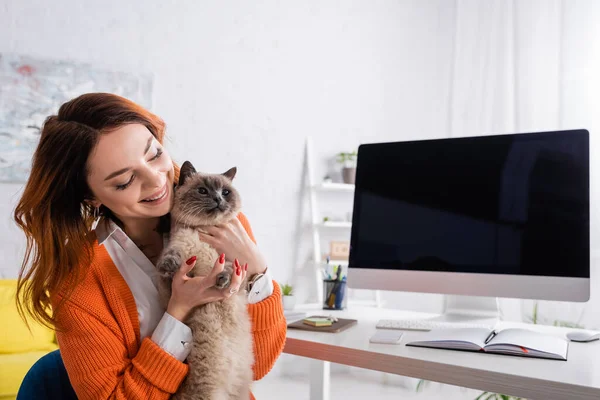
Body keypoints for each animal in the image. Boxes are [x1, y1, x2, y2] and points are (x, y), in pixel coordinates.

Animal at [155, 161, 253, 400]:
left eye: (225, 192)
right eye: (203, 191)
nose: (218, 199)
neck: (202, 232)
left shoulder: (235, 263)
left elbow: (229, 269)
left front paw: (223, 279)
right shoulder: (179, 252)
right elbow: (172, 259)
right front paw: (168, 267)